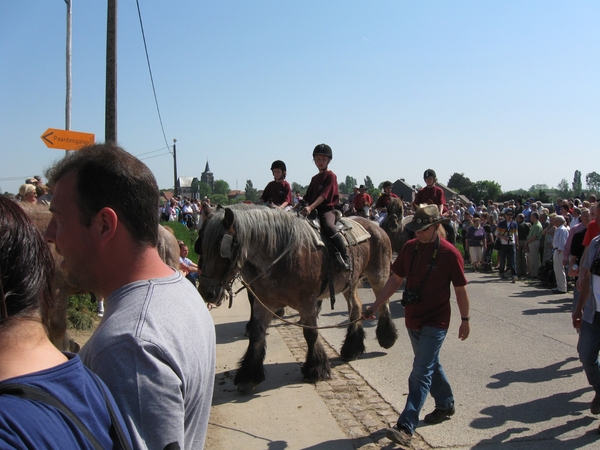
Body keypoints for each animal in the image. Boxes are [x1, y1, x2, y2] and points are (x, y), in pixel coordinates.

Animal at [195, 206, 396, 392]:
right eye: (201, 244)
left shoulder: (307, 304)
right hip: (349, 283)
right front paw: (249, 375)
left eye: (223, 246)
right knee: (356, 307)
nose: (206, 292)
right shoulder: (264, 303)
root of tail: (375, 226)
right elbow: (256, 333)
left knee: (383, 302)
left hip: (379, 274)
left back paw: (387, 336)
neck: (283, 255)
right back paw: (352, 348)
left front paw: (315, 369)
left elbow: (310, 334)